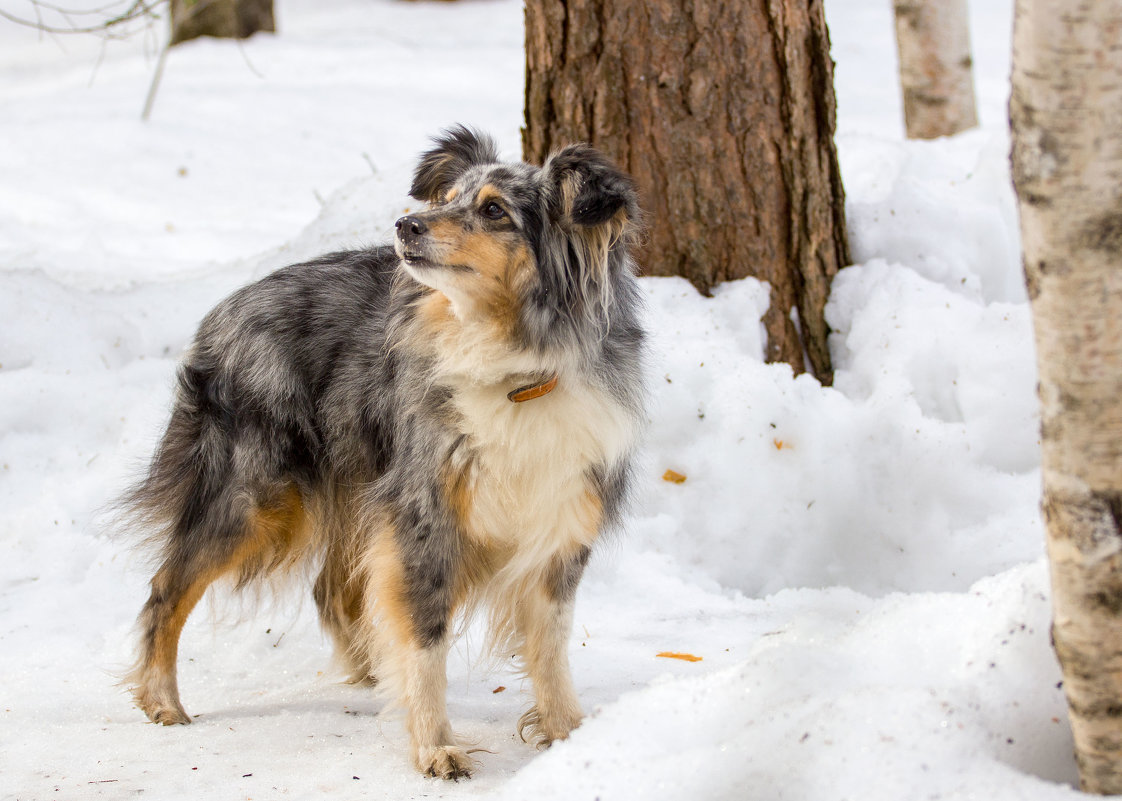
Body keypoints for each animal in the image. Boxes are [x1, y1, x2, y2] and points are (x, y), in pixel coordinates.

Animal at [119, 127, 646, 776]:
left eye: (494, 210)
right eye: (445, 198)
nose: (405, 225)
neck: (517, 369)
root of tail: (229, 305)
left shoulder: (562, 515)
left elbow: (551, 643)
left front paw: (569, 733)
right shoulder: (424, 512)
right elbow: (426, 638)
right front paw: (435, 745)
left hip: (355, 491)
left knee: (332, 591)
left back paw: (371, 672)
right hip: (255, 497)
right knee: (166, 587)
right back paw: (161, 700)